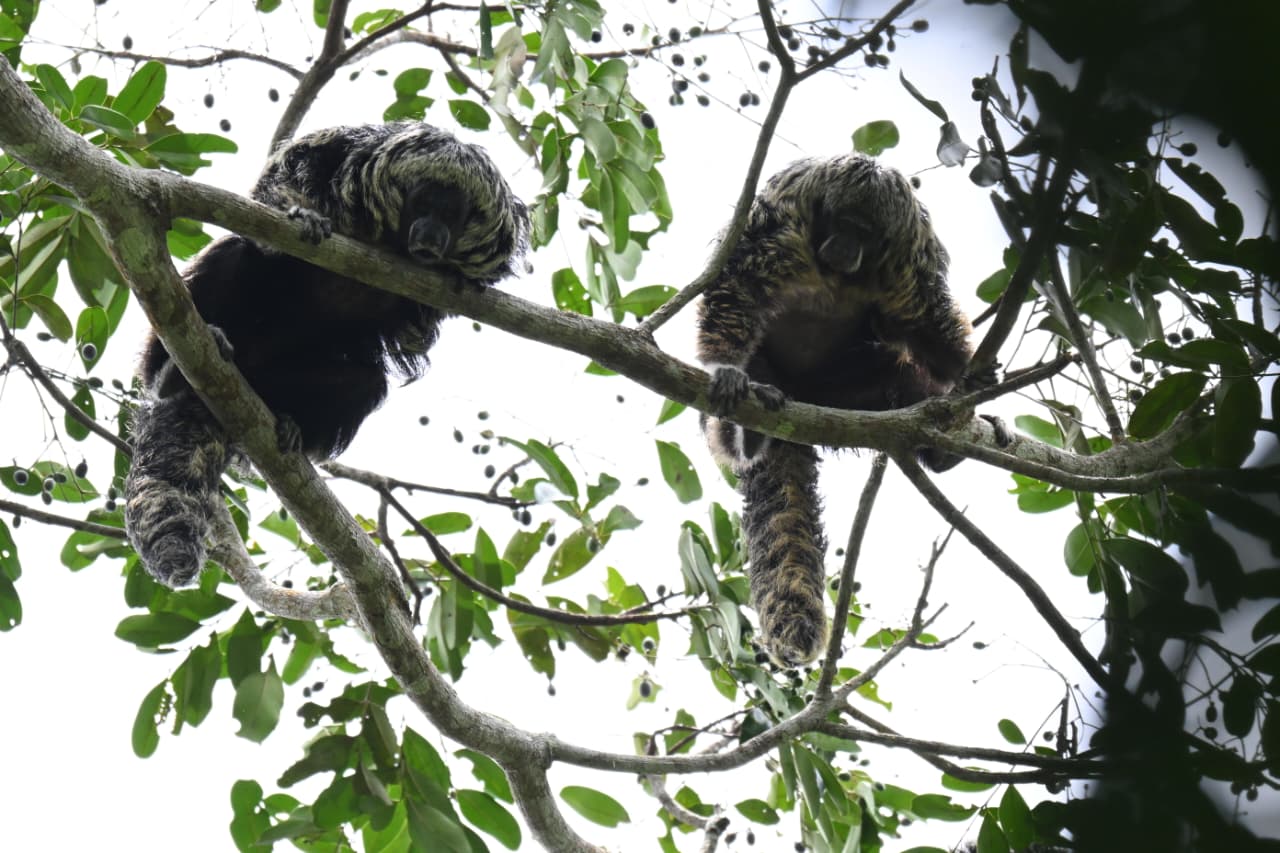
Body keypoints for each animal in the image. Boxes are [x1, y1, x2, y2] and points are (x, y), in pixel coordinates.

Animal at [125, 122, 528, 587]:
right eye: (423, 204)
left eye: (455, 216)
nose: (431, 237)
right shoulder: (344, 148)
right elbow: (283, 175)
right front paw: (303, 215)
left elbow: (417, 327)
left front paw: (453, 277)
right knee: (234, 255)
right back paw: (171, 375)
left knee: (365, 384)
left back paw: (285, 419)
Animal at [697, 153, 991, 666]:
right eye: (845, 224)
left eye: (865, 233)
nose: (846, 246)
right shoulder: (782, 224)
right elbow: (739, 284)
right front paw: (725, 367)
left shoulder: (905, 260)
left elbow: (926, 322)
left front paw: (966, 372)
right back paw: (746, 433)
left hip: (840, 391)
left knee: (890, 376)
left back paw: (941, 449)